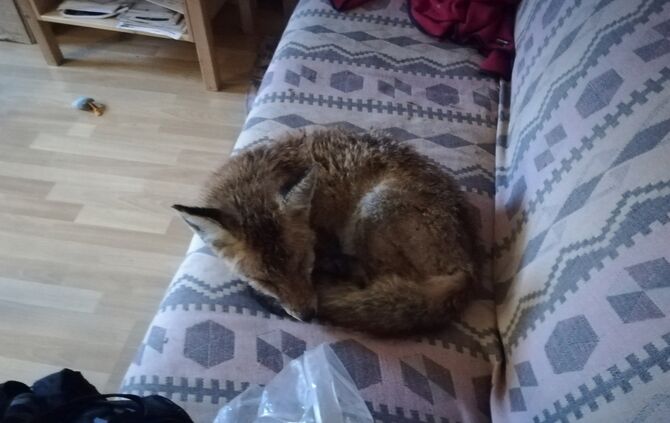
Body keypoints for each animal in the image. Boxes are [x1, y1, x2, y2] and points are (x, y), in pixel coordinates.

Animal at [173, 129, 477, 335]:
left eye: (302, 263)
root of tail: (467, 269)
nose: (308, 316)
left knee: (371, 279)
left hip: (371, 211)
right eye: (265, 280)